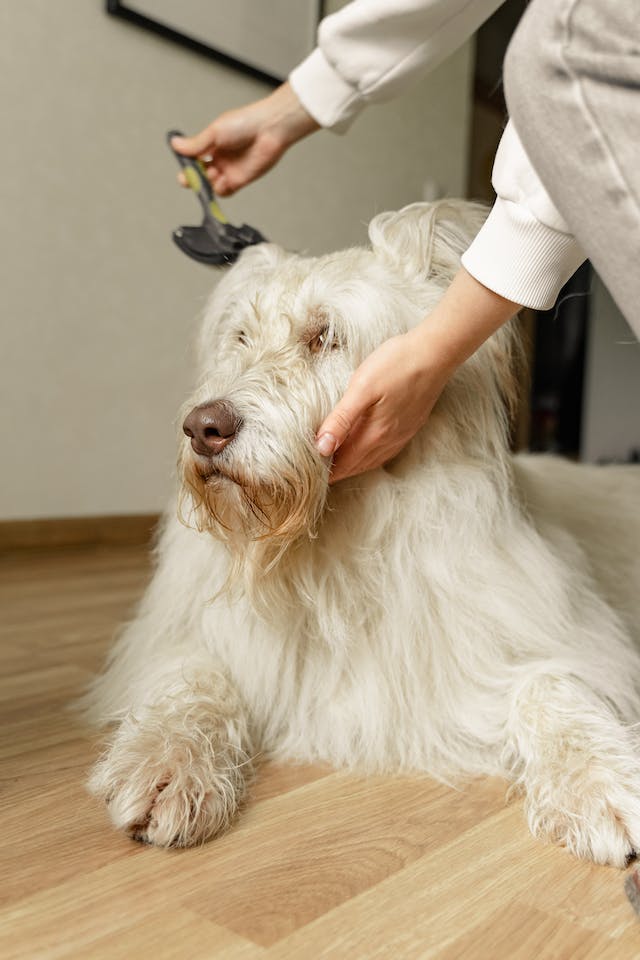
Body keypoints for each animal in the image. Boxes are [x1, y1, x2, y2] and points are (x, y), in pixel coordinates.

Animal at [87, 201, 640, 864]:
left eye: (326, 335)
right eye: (240, 338)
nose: (203, 428)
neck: (332, 541)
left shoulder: (569, 638)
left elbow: (553, 686)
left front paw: (598, 779)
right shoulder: (184, 638)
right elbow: (192, 680)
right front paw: (167, 765)